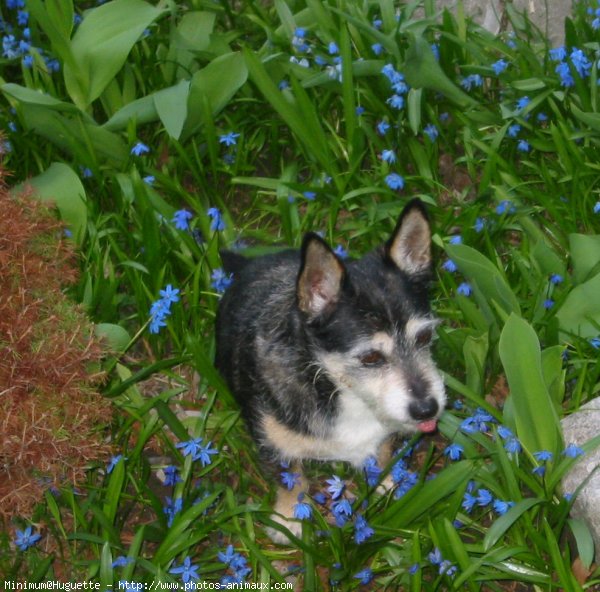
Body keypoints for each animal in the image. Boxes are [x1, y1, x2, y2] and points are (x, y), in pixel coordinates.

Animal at [216, 201, 446, 544]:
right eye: (370, 356)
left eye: (424, 337)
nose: (427, 408)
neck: (342, 390)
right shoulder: (273, 442)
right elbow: (291, 479)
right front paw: (288, 519)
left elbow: (383, 456)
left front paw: (387, 487)